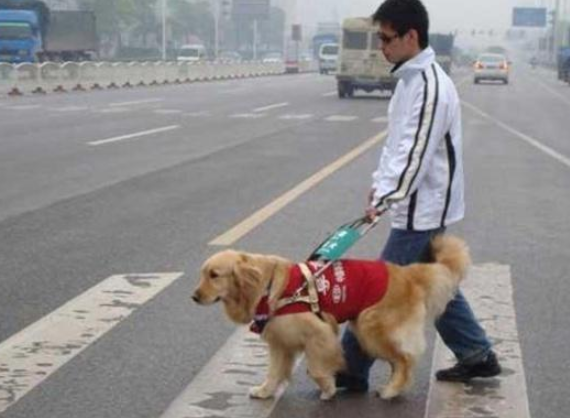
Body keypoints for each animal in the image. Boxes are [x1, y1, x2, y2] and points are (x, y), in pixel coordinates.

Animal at [193, 235, 468, 402]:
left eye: (214, 275)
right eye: (202, 274)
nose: (194, 297)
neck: (268, 287)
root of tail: (406, 273)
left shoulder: (319, 332)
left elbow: (316, 368)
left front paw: (327, 387)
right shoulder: (280, 342)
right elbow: (274, 370)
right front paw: (266, 390)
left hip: (370, 327)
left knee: (404, 360)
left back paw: (392, 389)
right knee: (399, 360)